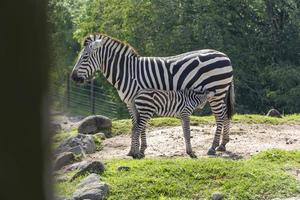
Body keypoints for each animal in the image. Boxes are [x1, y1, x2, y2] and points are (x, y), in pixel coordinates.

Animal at [71, 32, 234, 158]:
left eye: (85, 57)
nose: (73, 78)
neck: (128, 73)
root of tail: (225, 56)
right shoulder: (131, 102)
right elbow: (136, 125)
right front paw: (138, 149)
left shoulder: (140, 99)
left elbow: (140, 125)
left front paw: (139, 150)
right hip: (220, 93)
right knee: (225, 115)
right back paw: (223, 144)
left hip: (217, 91)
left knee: (220, 117)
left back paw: (213, 147)